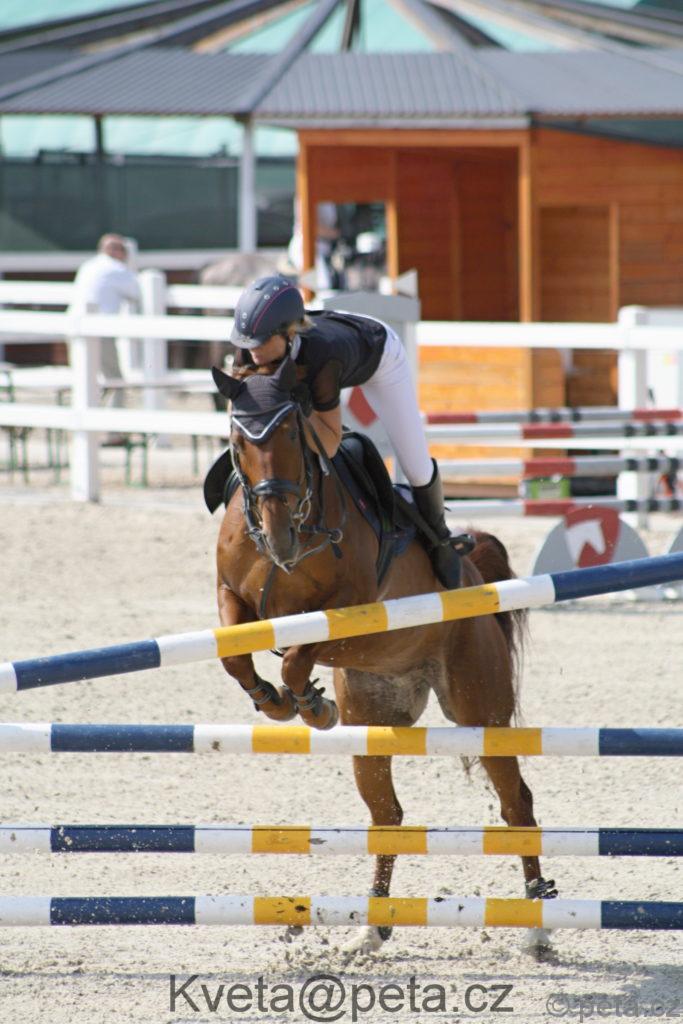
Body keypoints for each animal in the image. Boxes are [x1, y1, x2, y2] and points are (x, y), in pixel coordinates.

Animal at [208, 355, 557, 954]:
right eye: (236, 440)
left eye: (293, 436)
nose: (280, 538)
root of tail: (474, 577)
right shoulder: (234, 597)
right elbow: (236, 658)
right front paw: (275, 702)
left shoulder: (349, 613)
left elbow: (297, 657)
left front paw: (309, 704)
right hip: (372, 719)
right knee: (387, 814)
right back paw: (373, 925)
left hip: (481, 711)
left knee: (517, 805)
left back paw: (535, 928)